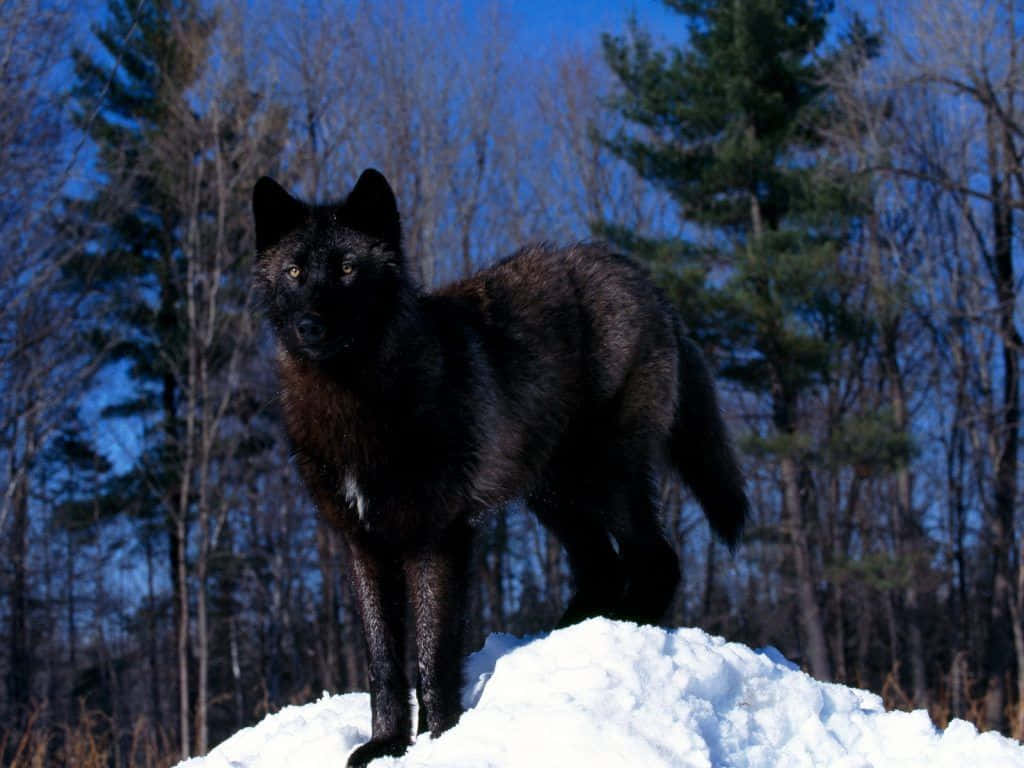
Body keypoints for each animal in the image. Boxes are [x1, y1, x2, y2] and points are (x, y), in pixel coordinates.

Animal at [247, 171, 745, 765]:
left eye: (347, 269)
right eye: (296, 272)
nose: (310, 326)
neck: (357, 403)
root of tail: (643, 279)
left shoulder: (438, 537)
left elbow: (433, 655)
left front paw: (442, 739)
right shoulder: (363, 545)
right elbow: (383, 663)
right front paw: (386, 744)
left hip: (607, 478)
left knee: (657, 559)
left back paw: (628, 624)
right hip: (555, 495)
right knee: (602, 567)